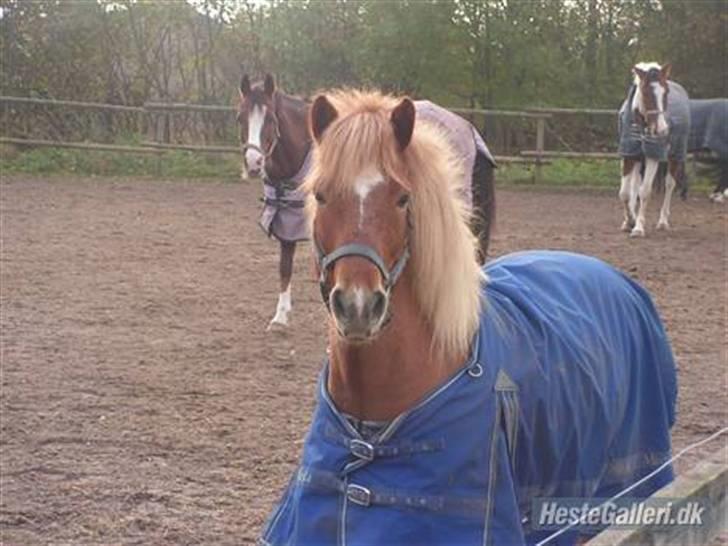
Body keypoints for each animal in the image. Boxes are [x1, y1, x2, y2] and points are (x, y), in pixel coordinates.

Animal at [616, 62, 692, 236]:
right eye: (645, 91)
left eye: (666, 92)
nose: (662, 130)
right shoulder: (629, 154)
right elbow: (625, 193)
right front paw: (629, 221)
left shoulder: (653, 156)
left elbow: (645, 192)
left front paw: (638, 228)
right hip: (639, 159)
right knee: (634, 187)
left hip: (675, 157)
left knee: (669, 184)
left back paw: (663, 222)